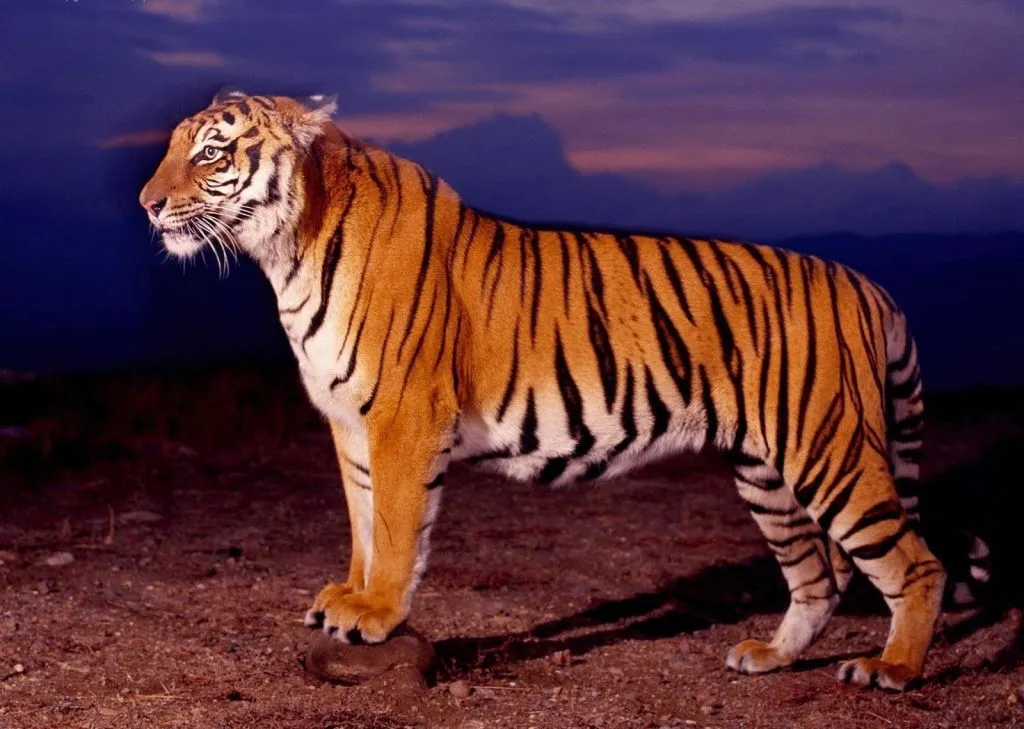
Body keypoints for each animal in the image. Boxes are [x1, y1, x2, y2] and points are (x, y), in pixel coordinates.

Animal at [139, 89, 990, 691]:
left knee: (912, 564)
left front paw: (376, 614)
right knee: (820, 576)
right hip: (766, 470)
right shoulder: (349, 422)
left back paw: (891, 669)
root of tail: (868, 284)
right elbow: (362, 518)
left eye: (212, 152)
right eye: (175, 148)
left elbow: (398, 527)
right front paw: (344, 597)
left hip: (828, 448)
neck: (286, 251)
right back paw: (769, 656)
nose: (148, 203)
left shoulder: (404, 416)